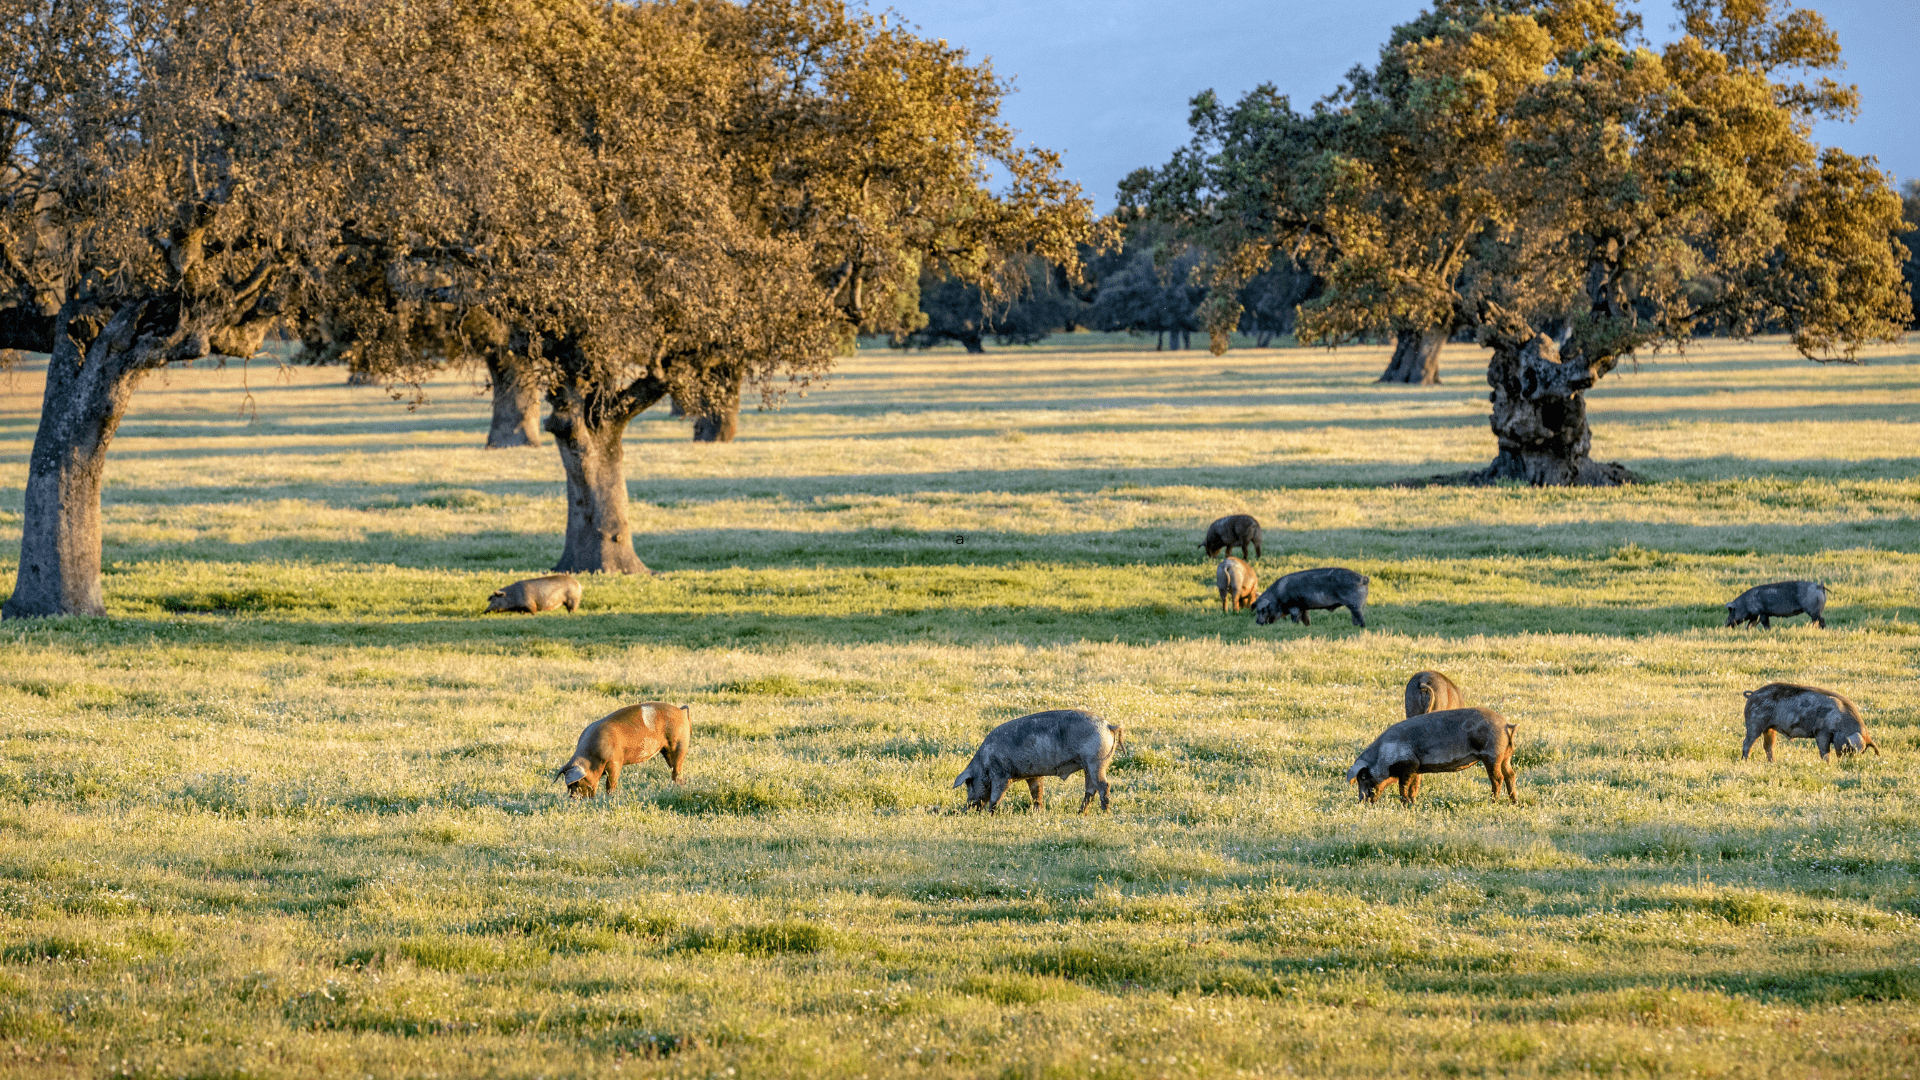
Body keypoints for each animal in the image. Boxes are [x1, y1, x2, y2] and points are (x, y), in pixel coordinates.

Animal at [556, 699, 691, 791]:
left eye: (577, 783)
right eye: (568, 786)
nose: (573, 799)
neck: (591, 758)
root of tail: (681, 711)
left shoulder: (615, 761)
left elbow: (611, 783)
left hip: (680, 743)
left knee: (677, 768)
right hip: (667, 751)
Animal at [956, 707, 1121, 807]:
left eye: (969, 783)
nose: (967, 808)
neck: (984, 761)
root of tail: (1109, 725)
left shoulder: (1001, 775)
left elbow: (996, 798)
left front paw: (991, 814)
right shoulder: (1033, 775)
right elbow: (1036, 792)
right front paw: (1037, 812)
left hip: (1096, 762)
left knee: (1104, 786)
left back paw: (1105, 812)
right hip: (1089, 765)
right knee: (1090, 789)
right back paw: (1081, 813)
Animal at [1351, 703, 1512, 803]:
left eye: (1363, 777)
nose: (1360, 801)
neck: (1383, 754)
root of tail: (1506, 724)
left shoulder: (1409, 764)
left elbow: (1403, 787)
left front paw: (1405, 804)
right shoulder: (1416, 767)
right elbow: (1414, 786)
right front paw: (1412, 803)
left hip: (1492, 754)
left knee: (1498, 778)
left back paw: (1493, 802)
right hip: (1506, 755)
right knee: (1510, 775)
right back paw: (1514, 802)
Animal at [1743, 680, 1873, 757]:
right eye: (1849, 748)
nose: (1845, 764)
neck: (1840, 721)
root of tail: (1752, 694)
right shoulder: (1821, 732)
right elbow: (1824, 751)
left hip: (1769, 728)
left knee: (1768, 746)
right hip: (1754, 723)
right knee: (1747, 742)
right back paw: (1745, 761)